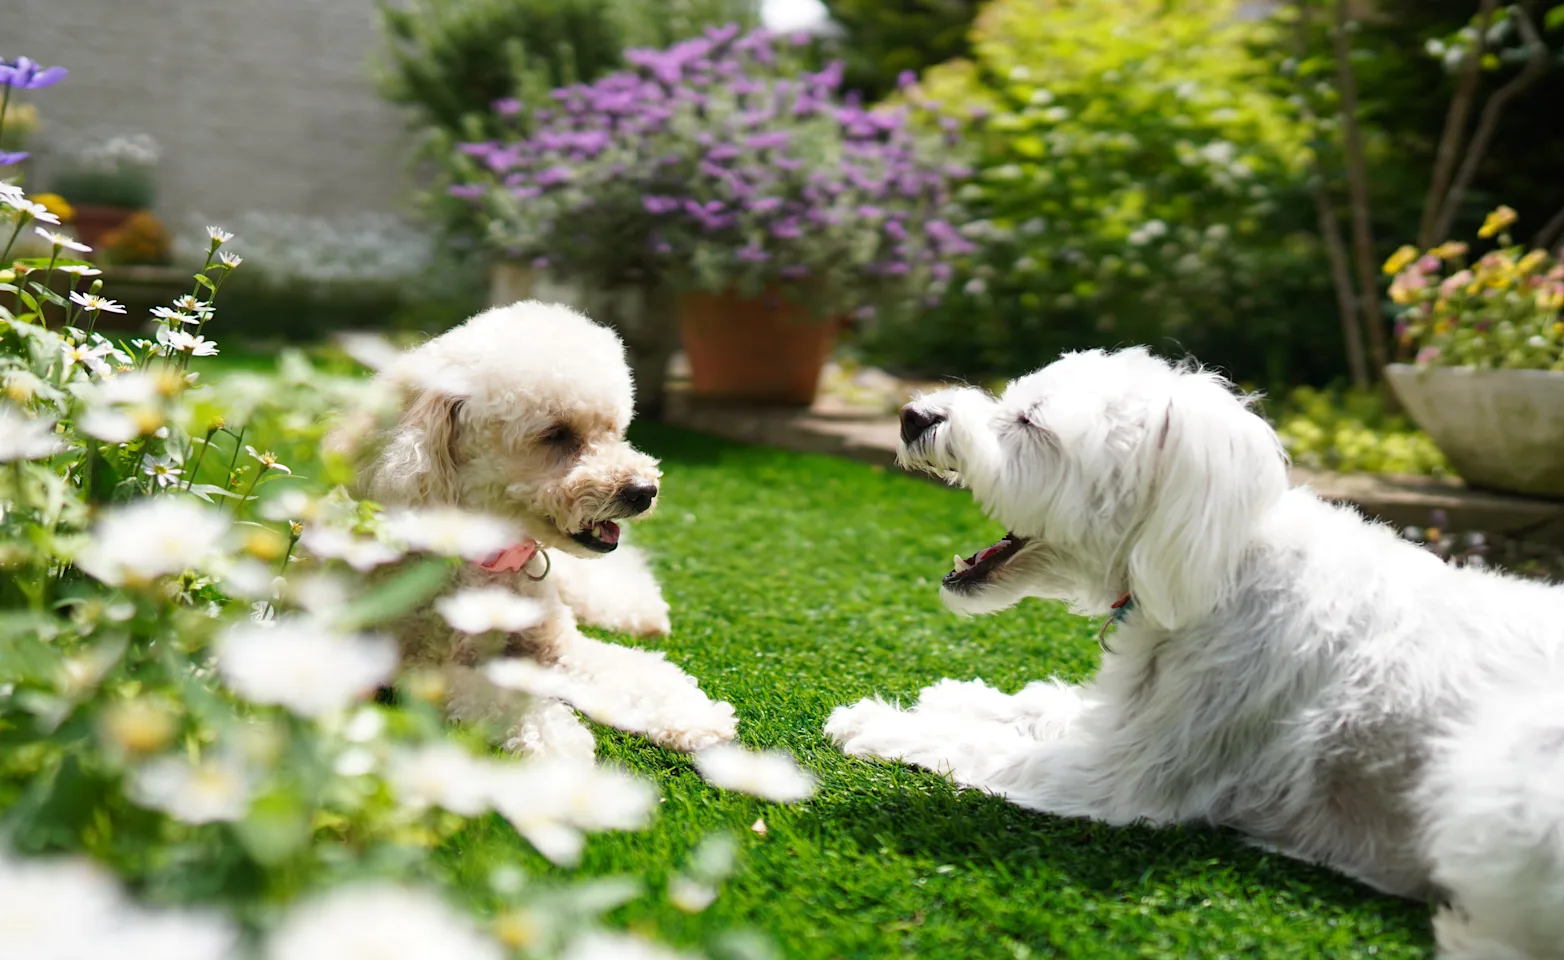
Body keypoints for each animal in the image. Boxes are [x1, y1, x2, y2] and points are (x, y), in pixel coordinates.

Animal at [353, 304, 738, 762]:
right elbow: (505, 698)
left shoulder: (560, 645)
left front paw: (694, 716)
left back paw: (643, 615)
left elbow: (638, 673)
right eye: (556, 434)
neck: (491, 562)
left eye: (614, 429)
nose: (644, 491)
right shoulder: (428, 669)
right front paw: (562, 745)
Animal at [825, 348, 1557, 960]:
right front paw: (951, 697)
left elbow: (977, 748)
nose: (913, 415)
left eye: (1032, 422)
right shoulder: (1128, 715)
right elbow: (1040, 705)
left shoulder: (1120, 773)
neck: (1217, 570)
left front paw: (881, 722)